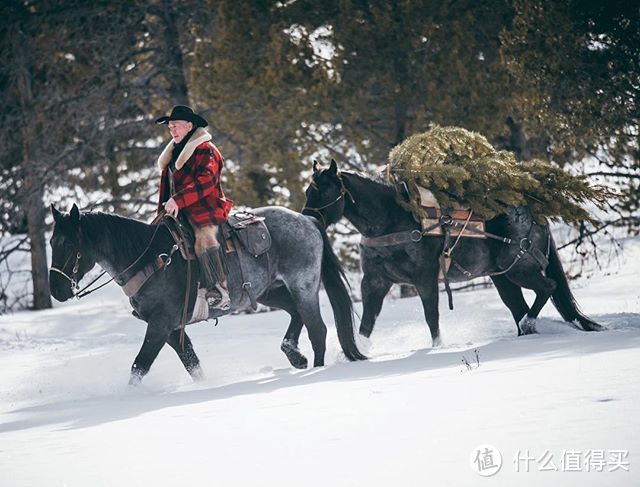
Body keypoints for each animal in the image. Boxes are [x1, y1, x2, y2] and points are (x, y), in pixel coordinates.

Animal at [48, 203, 364, 386]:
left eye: (69, 243)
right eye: (51, 241)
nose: (56, 290)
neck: (149, 259)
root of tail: (307, 220)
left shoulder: (160, 325)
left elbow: (139, 366)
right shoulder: (173, 330)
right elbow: (192, 364)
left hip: (303, 286)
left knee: (318, 330)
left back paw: (318, 370)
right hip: (268, 292)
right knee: (296, 315)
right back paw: (295, 357)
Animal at [302, 160, 604, 346]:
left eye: (324, 190)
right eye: (308, 190)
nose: (307, 217)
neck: (392, 219)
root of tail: (535, 214)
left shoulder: (424, 278)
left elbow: (431, 317)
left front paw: (436, 348)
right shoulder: (375, 281)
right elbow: (367, 323)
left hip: (520, 269)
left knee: (547, 288)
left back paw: (529, 324)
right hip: (502, 277)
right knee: (518, 305)